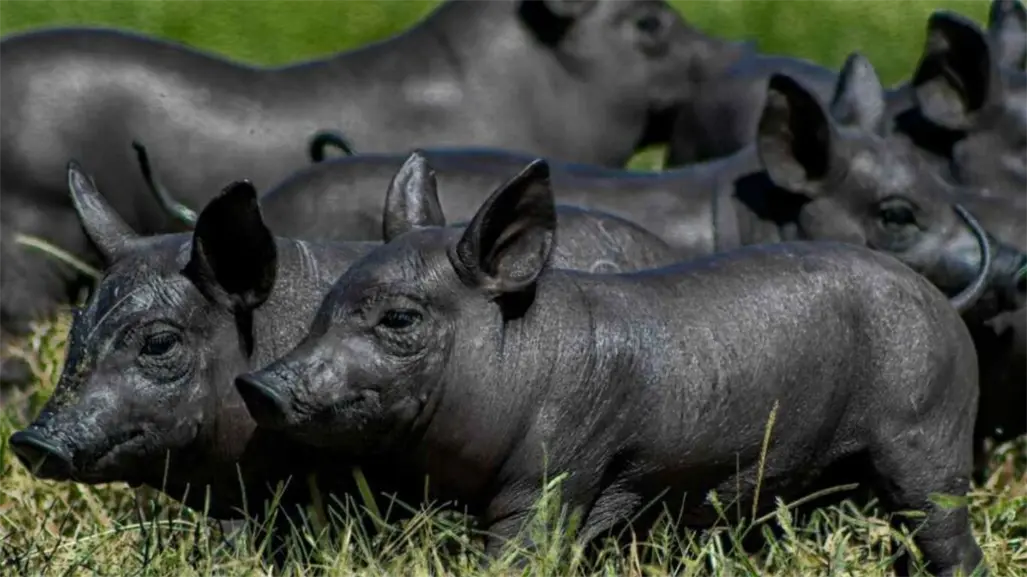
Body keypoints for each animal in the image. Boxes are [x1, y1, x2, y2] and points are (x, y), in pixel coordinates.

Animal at [235, 158, 988, 576]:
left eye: (398, 320)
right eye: (327, 307)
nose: (255, 383)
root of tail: (945, 301)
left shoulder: (559, 467)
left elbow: (521, 547)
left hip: (929, 432)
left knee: (945, 531)